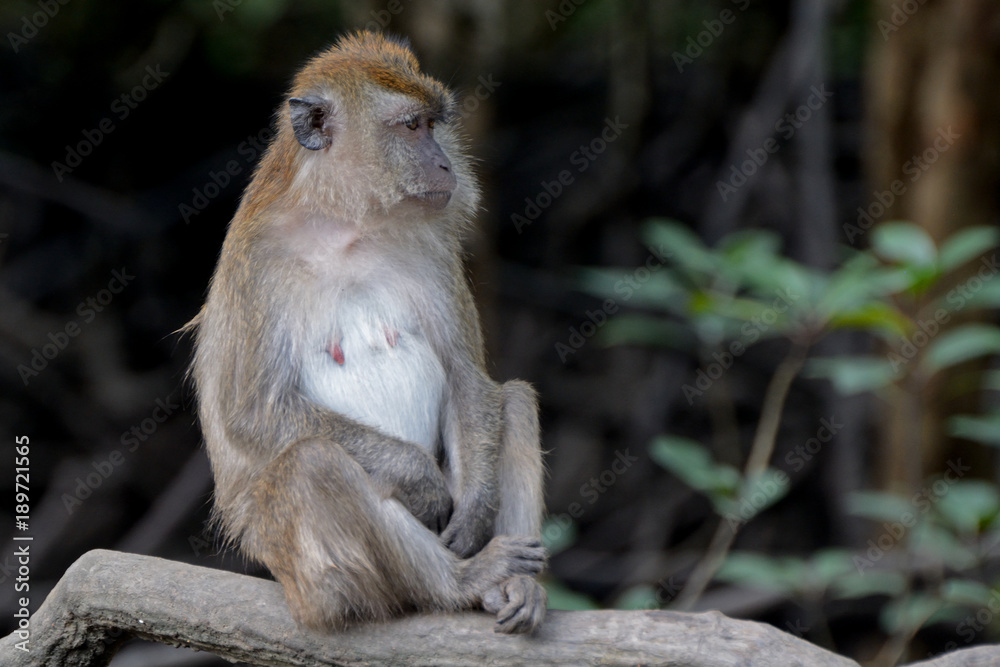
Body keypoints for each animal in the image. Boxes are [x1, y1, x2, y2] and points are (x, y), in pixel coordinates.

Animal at [186, 31, 547, 635]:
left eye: (434, 124)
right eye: (411, 127)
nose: (444, 163)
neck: (347, 227)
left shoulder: (432, 249)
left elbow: (467, 377)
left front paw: (475, 508)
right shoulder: (255, 265)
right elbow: (255, 413)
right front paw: (419, 477)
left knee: (513, 401)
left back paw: (513, 584)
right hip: (304, 570)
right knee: (313, 464)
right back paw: (461, 582)